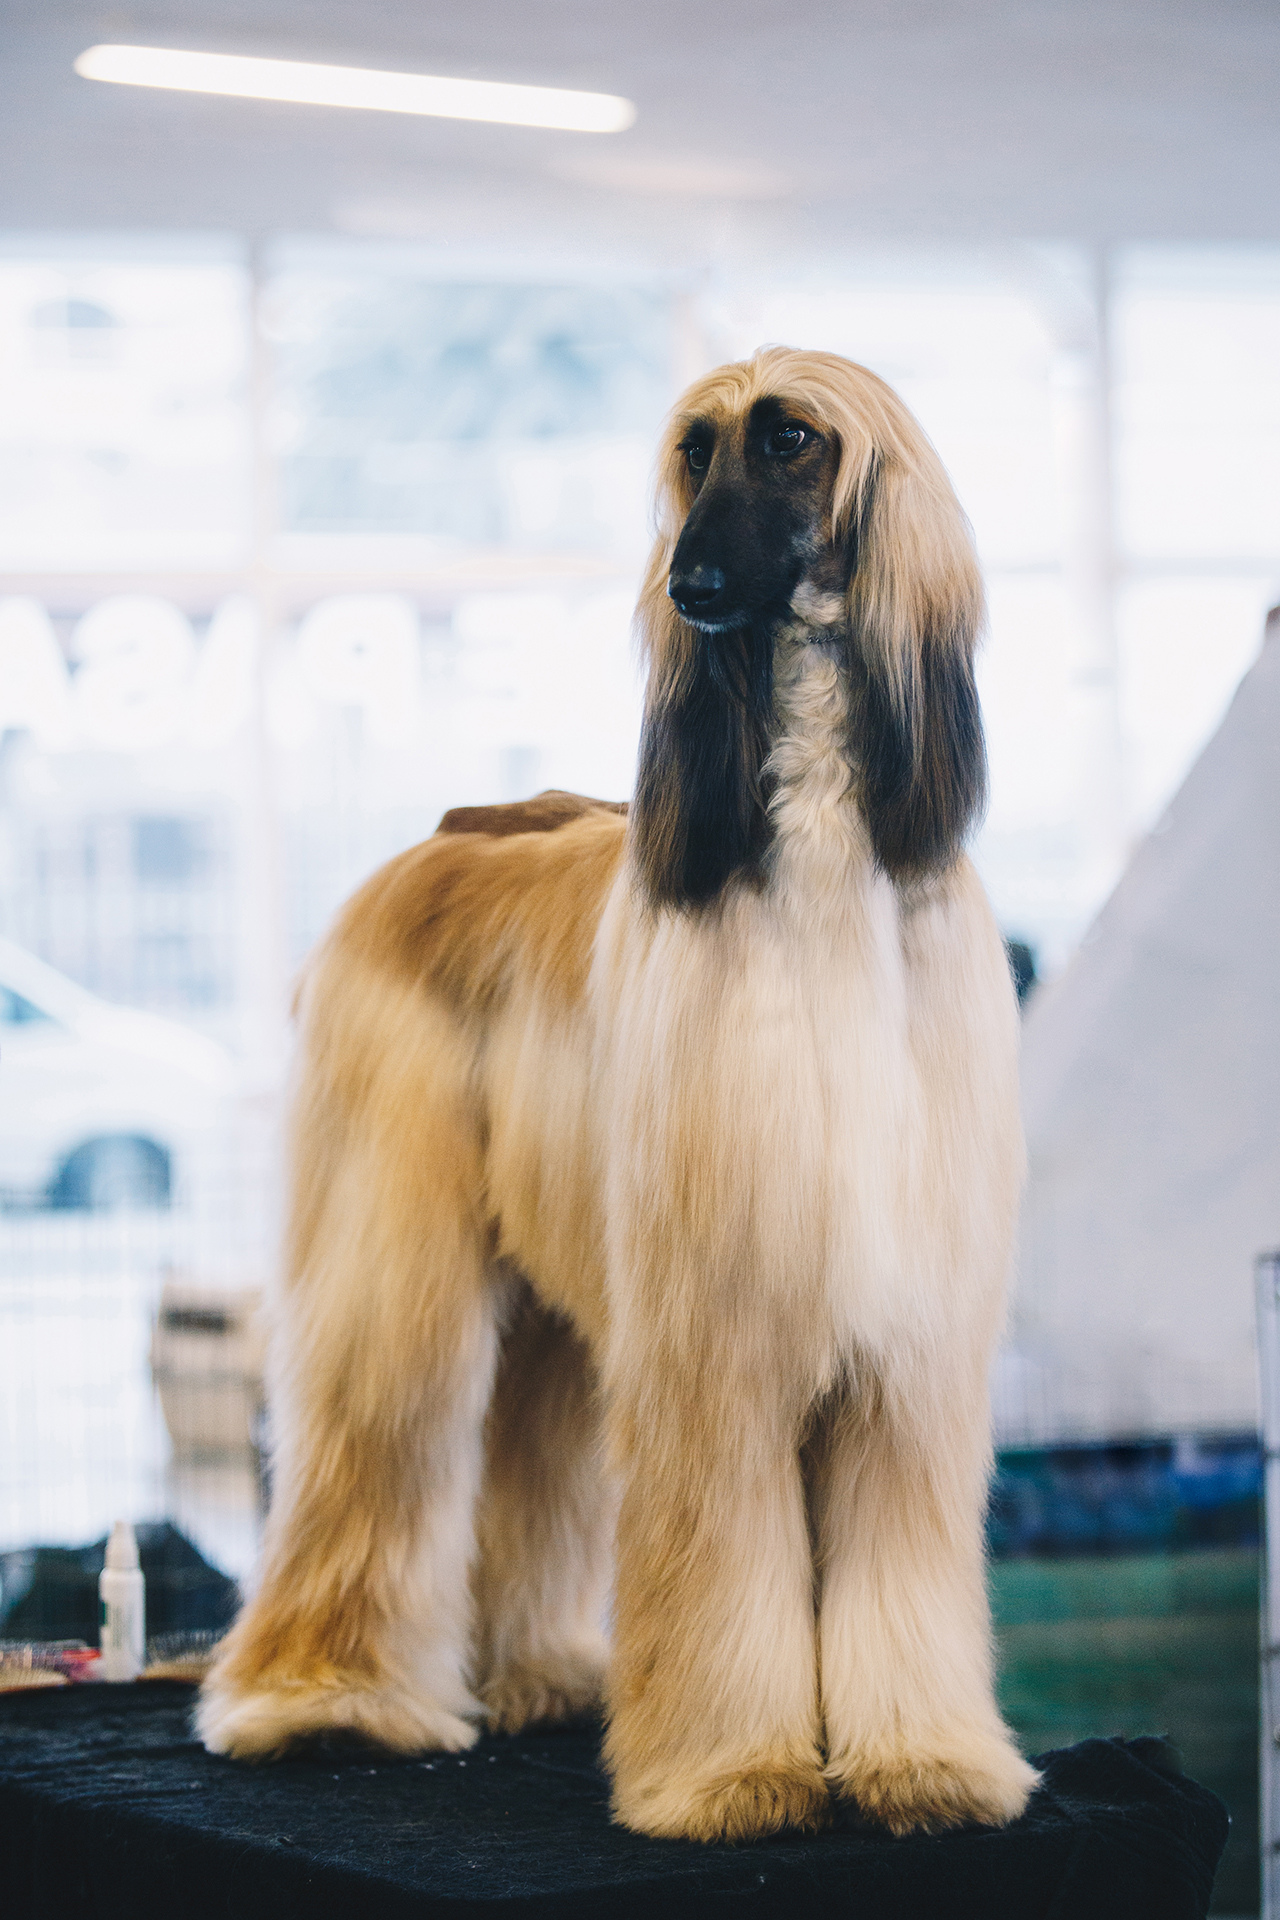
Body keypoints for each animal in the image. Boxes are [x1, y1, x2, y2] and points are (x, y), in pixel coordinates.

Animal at [198, 346, 1038, 1844]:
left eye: (791, 440)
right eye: (693, 453)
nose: (685, 582)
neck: (821, 859)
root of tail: (438, 841)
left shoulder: (906, 1343)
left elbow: (896, 1547)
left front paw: (922, 1762)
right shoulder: (716, 1321)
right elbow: (717, 1553)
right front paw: (733, 1774)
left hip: (552, 1279)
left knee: (527, 1446)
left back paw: (538, 1674)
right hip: (394, 1234)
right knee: (375, 1430)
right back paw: (322, 1699)